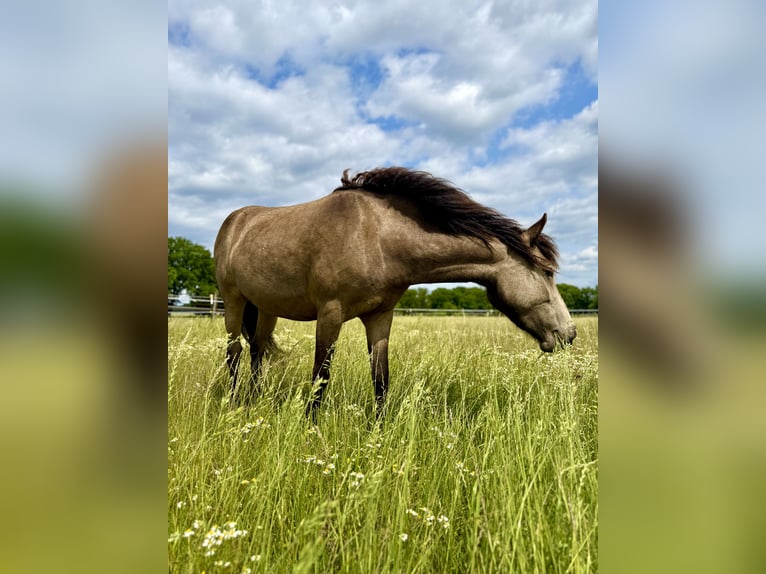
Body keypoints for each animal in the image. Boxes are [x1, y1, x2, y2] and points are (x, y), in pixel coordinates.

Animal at [214, 167, 576, 418]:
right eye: (547, 271)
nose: (568, 334)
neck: (377, 237)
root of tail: (235, 220)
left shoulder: (380, 317)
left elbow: (381, 380)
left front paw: (378, 432)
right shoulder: (330, 315)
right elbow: (321, 378)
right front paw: (310, 428)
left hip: (266, 308)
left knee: (257, 351)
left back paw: (254, 399)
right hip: (233, 301)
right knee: (234, 353)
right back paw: (232, 403)